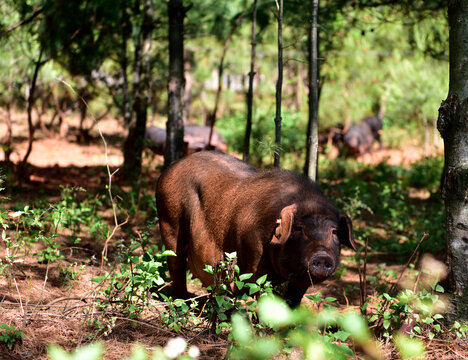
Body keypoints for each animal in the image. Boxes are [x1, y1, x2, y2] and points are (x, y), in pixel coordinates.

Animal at [155, 150, 356, 306]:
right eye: (299, 229)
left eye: (334, 232)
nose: (322, 256)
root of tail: (170, 168)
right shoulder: (254, 259)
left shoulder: (300, 281)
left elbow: (293, 302)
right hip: (169, 221)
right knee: (176, 265)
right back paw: (181, 301)